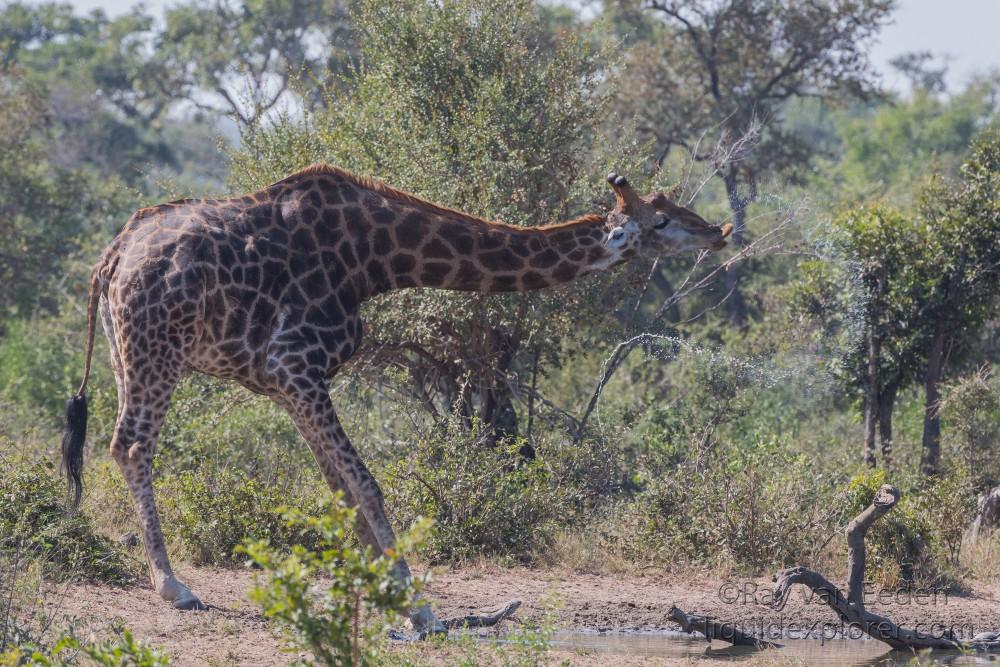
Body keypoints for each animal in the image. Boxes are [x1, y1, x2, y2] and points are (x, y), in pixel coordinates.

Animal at [62, 164, 736, 636]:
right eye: (660, 222)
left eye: (674, 208)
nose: (720, 230)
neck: (373, 260)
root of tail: (110, 259)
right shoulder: (296, 365)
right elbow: (367, 483)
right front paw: (419, 608)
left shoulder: (284, 382)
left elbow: (339, 488)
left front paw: (365, 588)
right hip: (158, 351)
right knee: (132, 446)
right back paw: (173, 585)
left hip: (127, 355)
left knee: (123, 445)